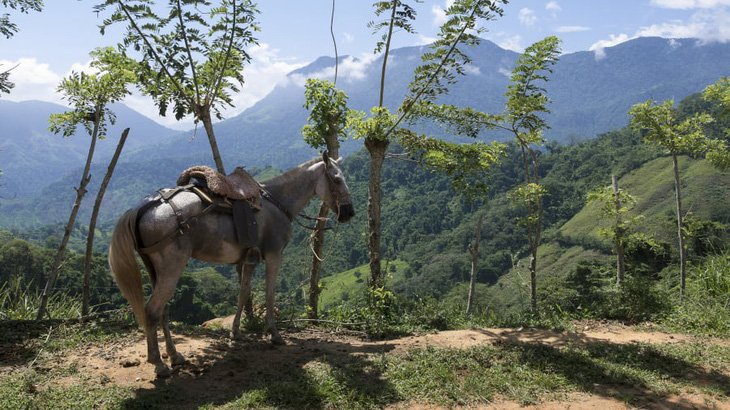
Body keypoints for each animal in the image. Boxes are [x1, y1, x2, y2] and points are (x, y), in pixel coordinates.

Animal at [109, 152, 356, 376]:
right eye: (336, 180)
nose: (349, 213)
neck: (277, 201)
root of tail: (145, 206)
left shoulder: (249, 260)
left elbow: (243, 294)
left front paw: (236, 332)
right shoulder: (274, 256)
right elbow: (269, 294)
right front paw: (274, 334)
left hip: (155, 272)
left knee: (163, 310)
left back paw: (174, 355)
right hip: (171, 270)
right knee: (152, 311)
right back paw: (159, 364)